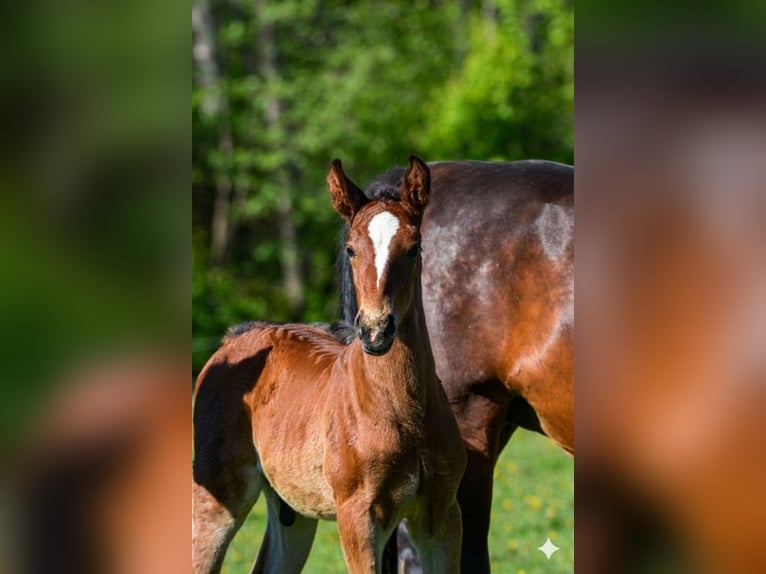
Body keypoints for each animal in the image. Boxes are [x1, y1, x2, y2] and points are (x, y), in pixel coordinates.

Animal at [192, 156, 467, 574]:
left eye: (414, 247)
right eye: (350, 249)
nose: (375, 330)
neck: (402, 408)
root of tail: (235, 337)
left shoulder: (442, 516)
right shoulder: (358, 516)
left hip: (292, 510)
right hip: (217, 495)